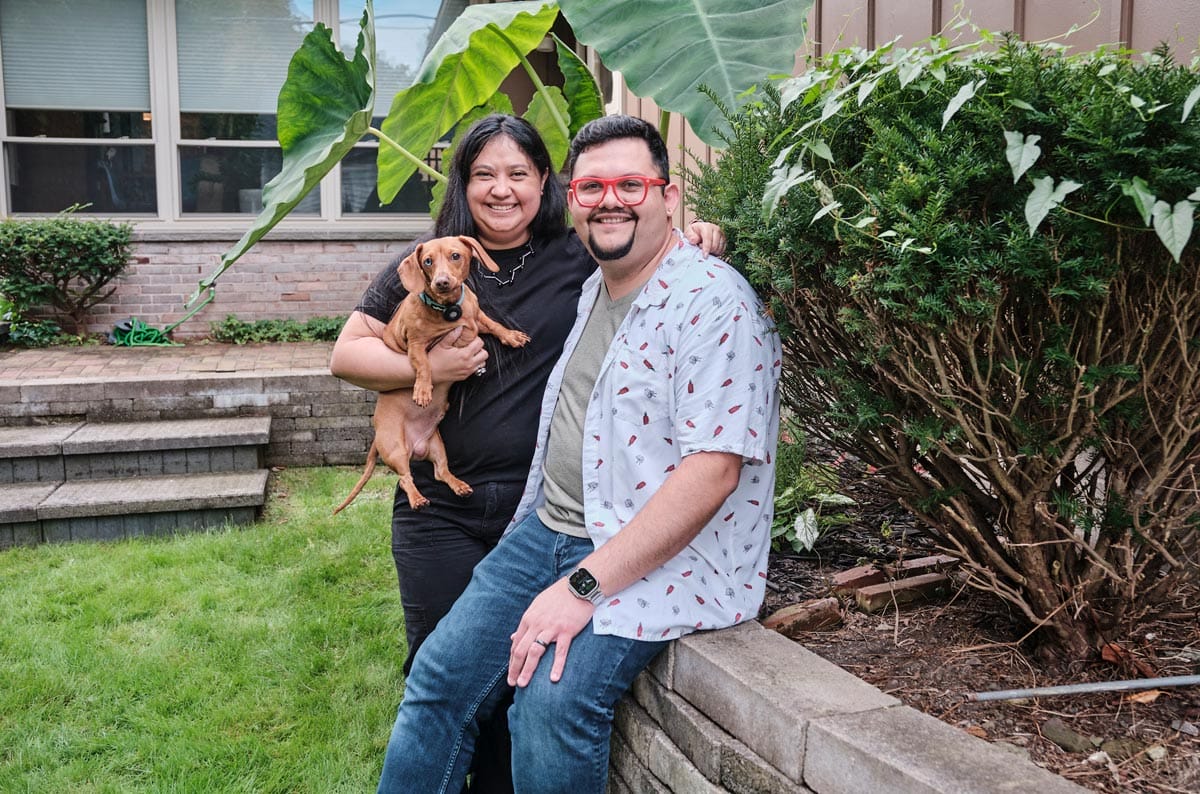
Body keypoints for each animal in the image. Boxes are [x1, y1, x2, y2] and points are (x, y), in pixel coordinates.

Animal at [333, 235, 530, 515]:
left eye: (455, 256)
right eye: (427, 261)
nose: (442, 282)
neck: (448, 310)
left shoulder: (477, 318)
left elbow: (492, 324)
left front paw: (511, 336)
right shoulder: (416, 344)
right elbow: (425, 365)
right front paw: (423, 390)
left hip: (438, 446)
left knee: (441, 472)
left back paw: (458, 485)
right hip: (395, 449)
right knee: (406, 478)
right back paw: (417, 499)